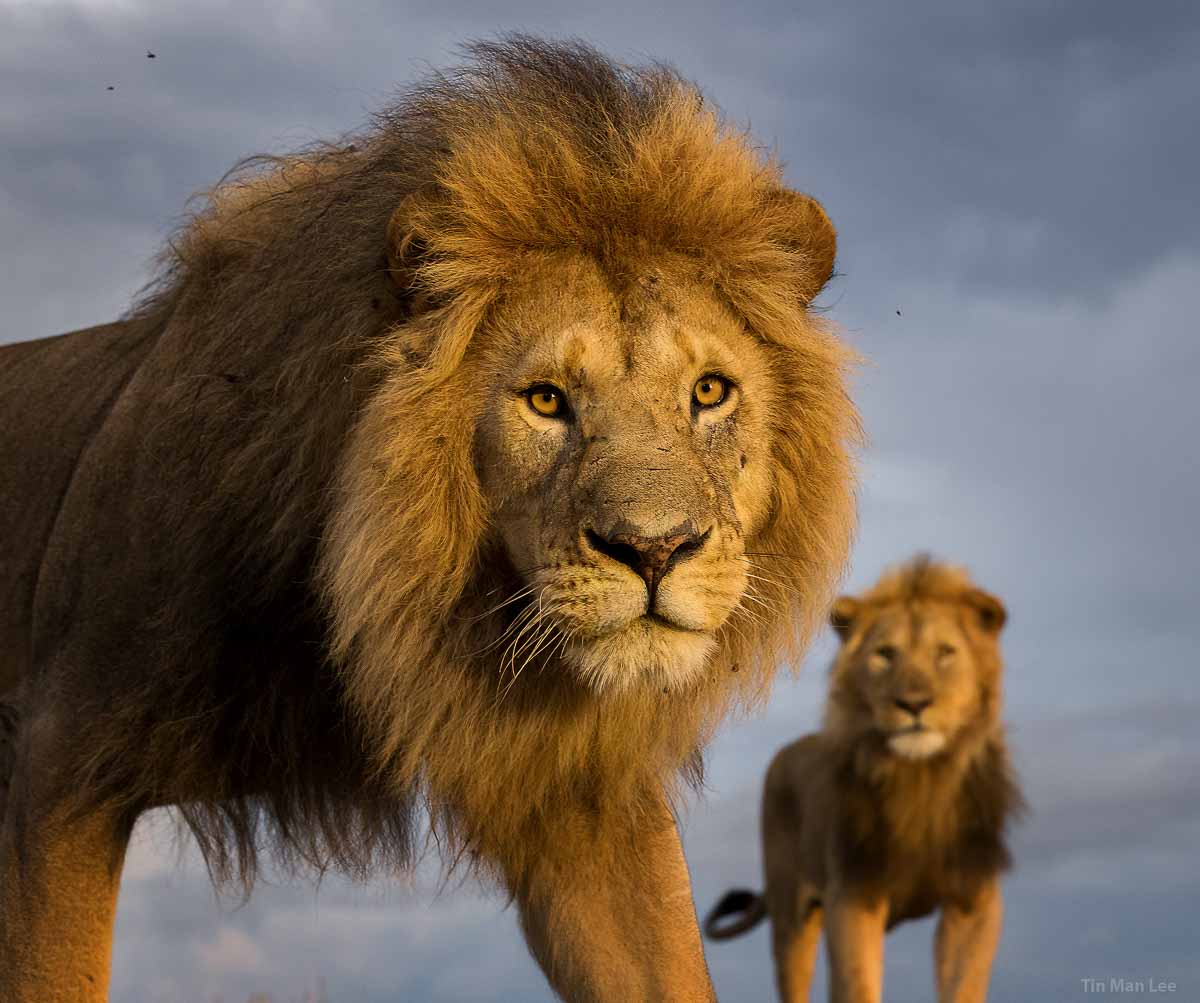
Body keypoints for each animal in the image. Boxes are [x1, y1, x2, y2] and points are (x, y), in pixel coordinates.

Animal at [700, 556, 1022, 1003]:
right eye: (885, 654)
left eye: (945, 653)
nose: (914, 704)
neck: (920, 781)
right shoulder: (852, 897)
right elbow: (858, 985)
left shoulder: (974, 901)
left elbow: (964, 987)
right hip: (790, 914)